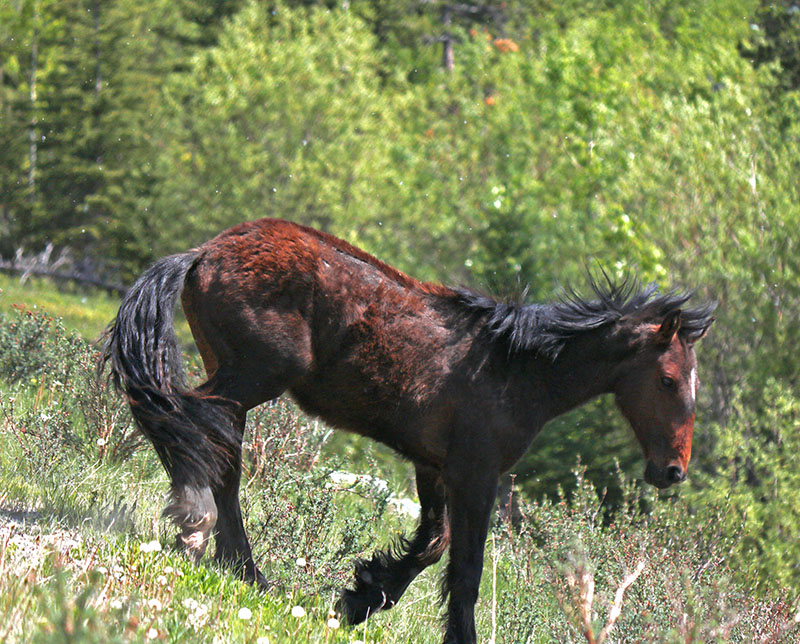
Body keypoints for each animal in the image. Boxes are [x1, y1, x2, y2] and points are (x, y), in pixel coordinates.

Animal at [103, 218, 714, 644]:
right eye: (667, 380)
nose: (672, 470)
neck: (517, 369)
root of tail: (203, 253)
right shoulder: (476, 474)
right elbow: (465, 570)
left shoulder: (433, 466)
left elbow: (429, 546)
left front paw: (360, 597)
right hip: (253, 375)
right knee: (185, 420)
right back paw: (196, 524)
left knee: (211, 446)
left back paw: (247, 573)